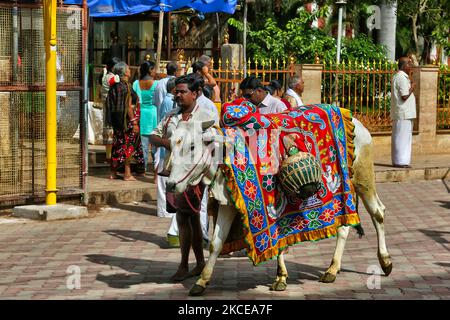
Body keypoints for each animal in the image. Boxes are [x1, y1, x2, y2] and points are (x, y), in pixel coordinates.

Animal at [165, 107, 390, 296]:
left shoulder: (272, 206)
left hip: (362, 178)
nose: (170, 184)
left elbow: (278, 240)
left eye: (192, 146)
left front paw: (280, 278)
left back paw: (385, 262)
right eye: (172, 146)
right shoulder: (228, 204)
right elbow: (216, 244)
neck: (225, 156)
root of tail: (357, 122)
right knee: (345, 225)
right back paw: (333, 268)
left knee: (378, 212)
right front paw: (201, 282)